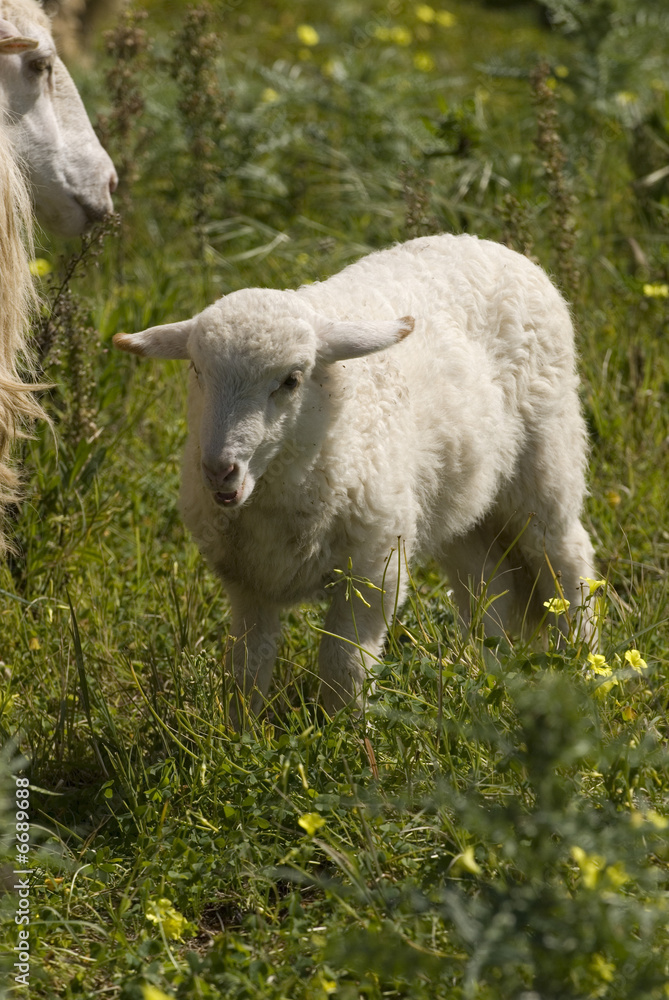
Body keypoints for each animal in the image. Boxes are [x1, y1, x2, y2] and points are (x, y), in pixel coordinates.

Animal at [114, 234, 597, 717]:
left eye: (291, 380)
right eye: (197, 370)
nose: (219, 471)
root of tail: (485, 242)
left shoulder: (375, 569)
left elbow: (343, 664)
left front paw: (344, 729)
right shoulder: (249, 583)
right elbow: (246, 666)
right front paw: (240, 728)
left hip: (545, 456)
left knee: (565, 559)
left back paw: (581, 662)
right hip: (456, 495)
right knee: (485, 582)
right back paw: (482, 669)